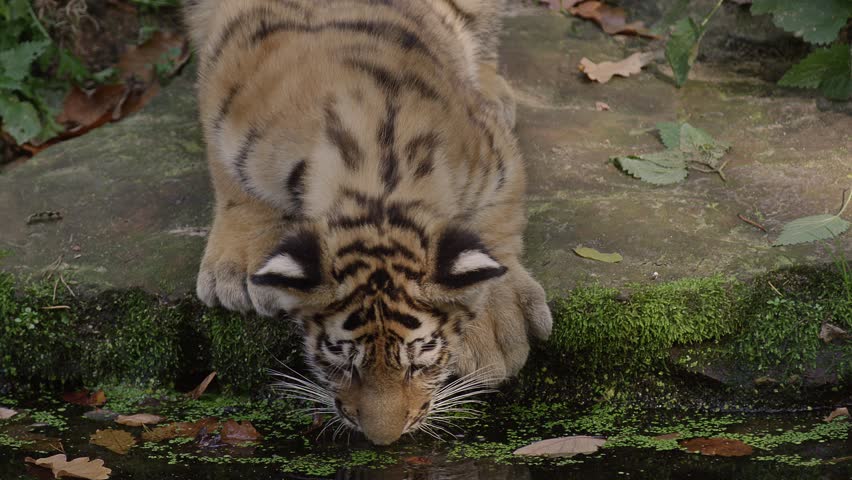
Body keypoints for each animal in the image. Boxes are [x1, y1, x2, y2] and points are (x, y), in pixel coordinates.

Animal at [184, 0, 552, 445]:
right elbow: (235, 183)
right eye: (344, 365)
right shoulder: (226, 91)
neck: (378, 178)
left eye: (419, 364)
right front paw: (236, 269)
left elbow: (495, 227)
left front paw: (494, 327)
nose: (384, 440)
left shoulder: (494, 152)